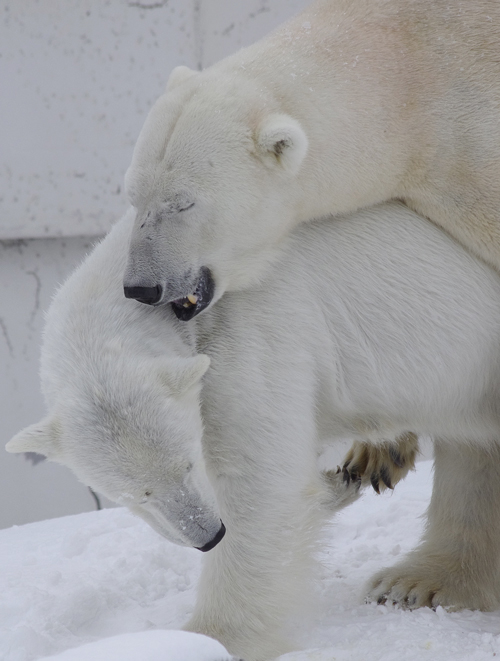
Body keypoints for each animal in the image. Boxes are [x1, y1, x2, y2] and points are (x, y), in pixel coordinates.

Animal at [7, 202, 500, 660]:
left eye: (188, 464)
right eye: (135, 496)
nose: (207, 536)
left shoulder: (249, 332)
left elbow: (260, 483)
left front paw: (211, 639)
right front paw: (339, 484)